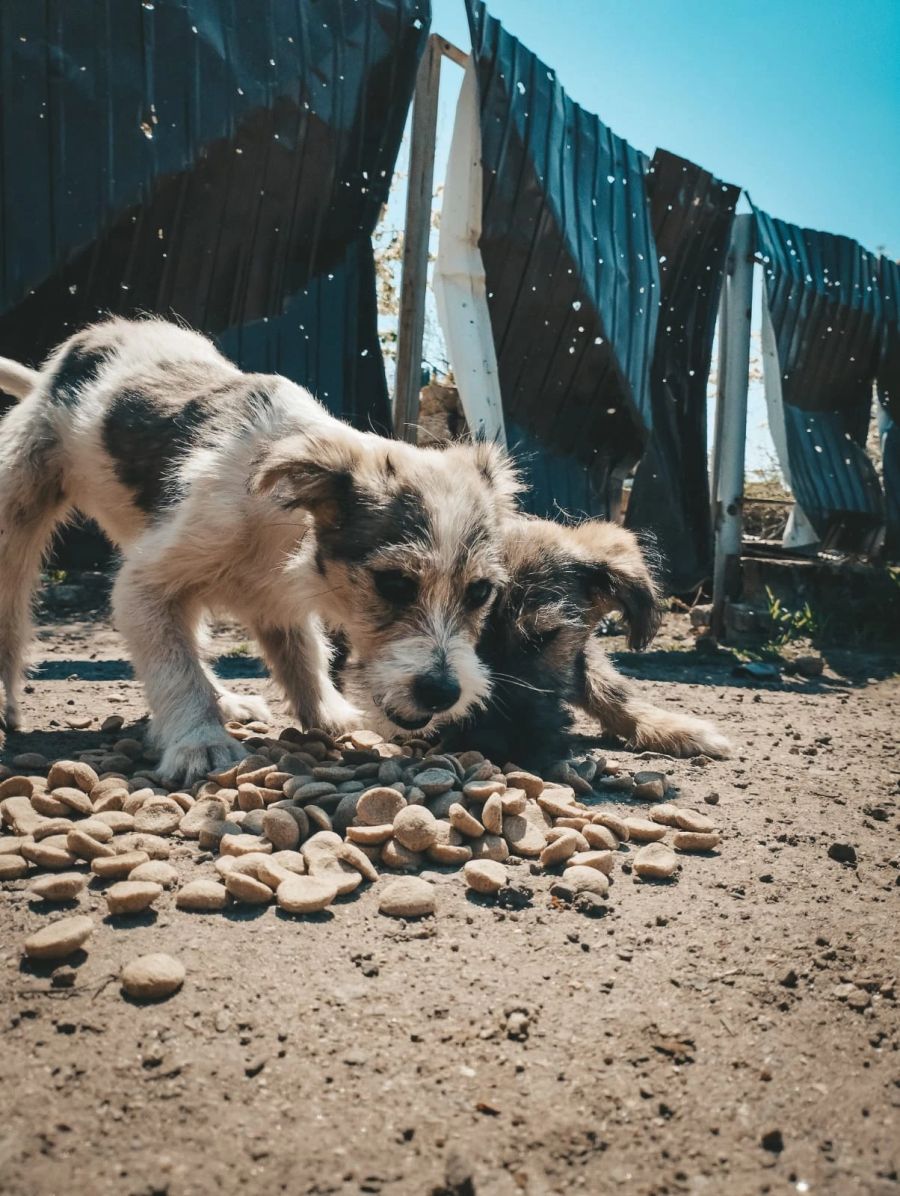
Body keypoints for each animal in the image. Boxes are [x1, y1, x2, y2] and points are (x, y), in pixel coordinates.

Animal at [0, 318, 518, 784]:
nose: (442, 692)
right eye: (394, 583)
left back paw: (225, 700)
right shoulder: (143, 587)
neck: (285, 520)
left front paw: (330, 716)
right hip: (17, 516)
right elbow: (175, 670)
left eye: (479, 592)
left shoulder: (274, 600)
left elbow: (302, 655)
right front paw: (200, 742)